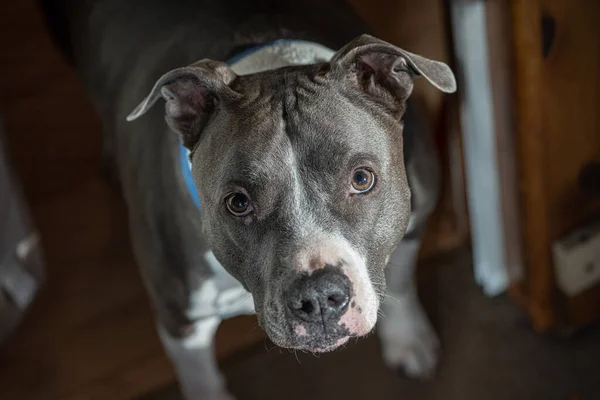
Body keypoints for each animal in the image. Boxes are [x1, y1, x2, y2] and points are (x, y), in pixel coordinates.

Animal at [41, 1, 454, 398]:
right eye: (238, 203)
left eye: (362, 179)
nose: (319, 295)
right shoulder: (181, 322)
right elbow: (202, 382)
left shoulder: (414, 220)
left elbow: (400, 281)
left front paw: (407, 339)